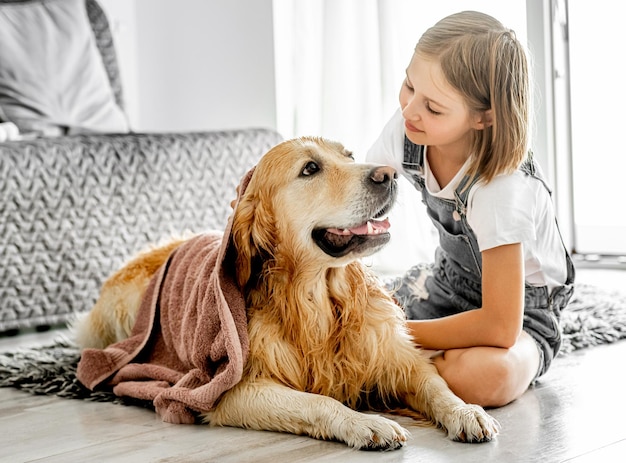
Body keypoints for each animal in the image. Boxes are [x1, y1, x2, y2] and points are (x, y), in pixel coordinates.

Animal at [74, 137, 498, 450]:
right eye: (310, 169)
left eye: (349, 156)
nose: (388, 174)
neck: (318, 301)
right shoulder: (230, 390)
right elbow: (318, 400)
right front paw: (364, 423)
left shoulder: (395, 357)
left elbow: (436, 385)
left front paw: (466, 412)